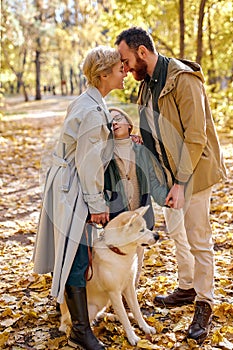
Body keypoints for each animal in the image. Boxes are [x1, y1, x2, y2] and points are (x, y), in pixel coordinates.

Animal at [59, 206, 157, 346]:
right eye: (141, 230)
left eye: (146, 227)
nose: (157, 236)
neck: (117, 252)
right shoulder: (114, 293)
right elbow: (124, 317)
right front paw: (132, 336)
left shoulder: (129, 288)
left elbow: (137, 310)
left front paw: (145, 327)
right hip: (91, 307)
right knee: (74, 324)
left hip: (103, 302)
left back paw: (111, 316)